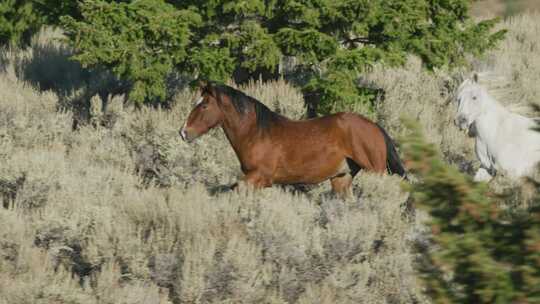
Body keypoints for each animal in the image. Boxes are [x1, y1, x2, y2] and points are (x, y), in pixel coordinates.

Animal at [181, 82, 404, 198]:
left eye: (204, 105)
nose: (183, 132)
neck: (255, 133)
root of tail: (374, 127)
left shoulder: (260, 177)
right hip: (342, 177)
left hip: (376, 171)